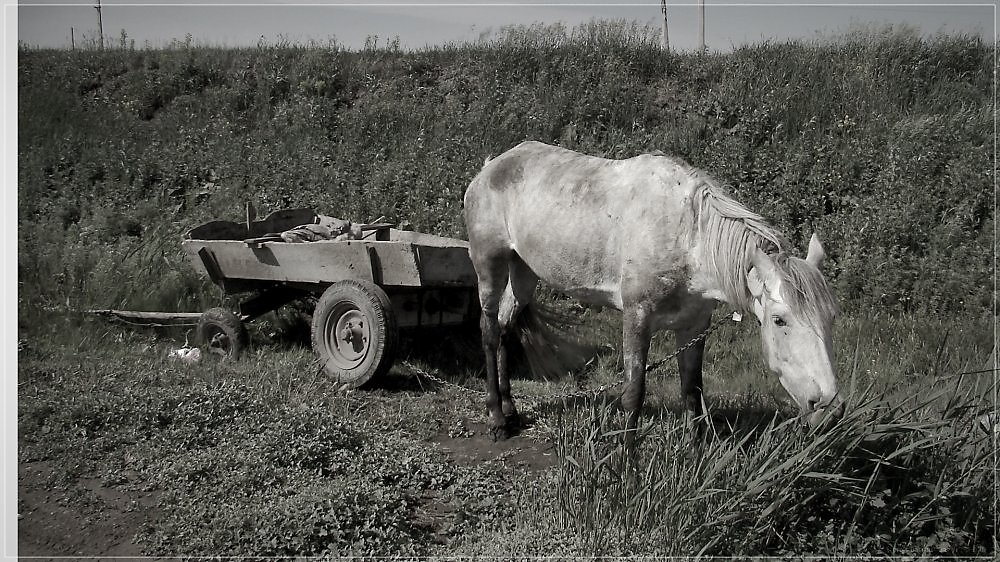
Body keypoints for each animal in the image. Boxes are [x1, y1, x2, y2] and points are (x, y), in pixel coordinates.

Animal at [464, 140, 840, 438]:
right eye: (779, 320)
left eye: (831, 319)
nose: (827, 406)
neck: (688, 237)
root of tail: (489, 167)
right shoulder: (637, 318)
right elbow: (634, 395)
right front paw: (626, 471)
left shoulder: (694, 326)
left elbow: (692, 390)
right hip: (489, 263)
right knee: (489, 331)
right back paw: (497, 418)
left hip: (524, 272)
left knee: (506, 325)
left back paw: (511, 410)